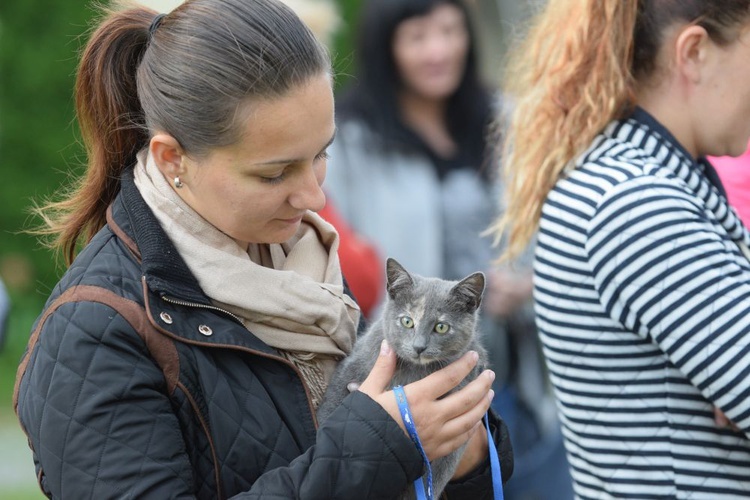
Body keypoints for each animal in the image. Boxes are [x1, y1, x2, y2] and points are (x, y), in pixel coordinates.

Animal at [316, 258, 488, 500]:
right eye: (407, 321)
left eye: (441, 327)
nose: (419, 347)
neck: (413, 372)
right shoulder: (352, 368)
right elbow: (331, 411)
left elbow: (436, 475)